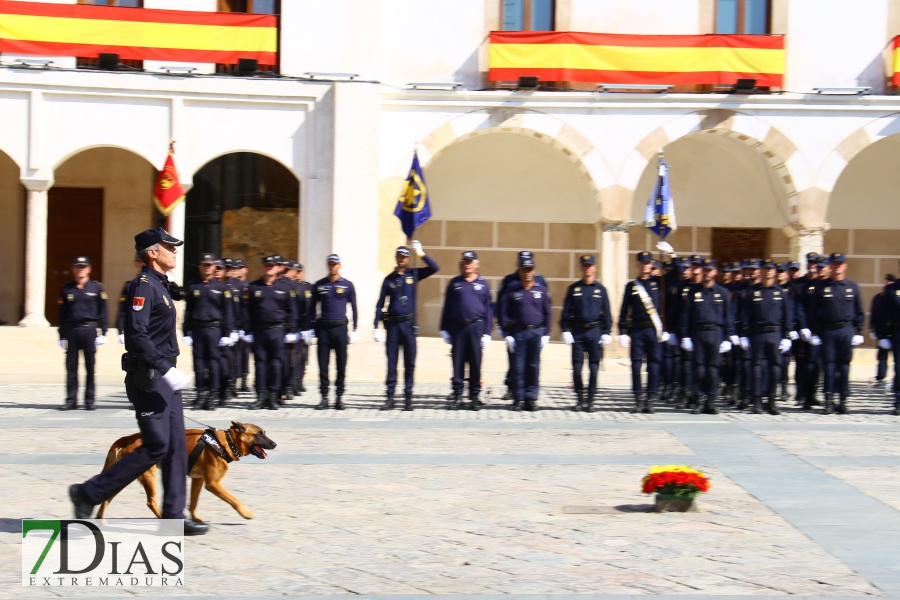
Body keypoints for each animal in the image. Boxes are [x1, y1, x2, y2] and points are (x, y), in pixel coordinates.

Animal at [96, 422, 276, 520]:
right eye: (259, 434)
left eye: (264, 433)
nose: (275, 444)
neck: (226, 442)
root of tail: (129, 437)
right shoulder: (212, 484)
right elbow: (233, 499)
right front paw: (245, 512)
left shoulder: (198, 480)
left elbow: (193, 503)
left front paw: (195, 518)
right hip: (149, 475)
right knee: (151, 502)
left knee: (107, 495)